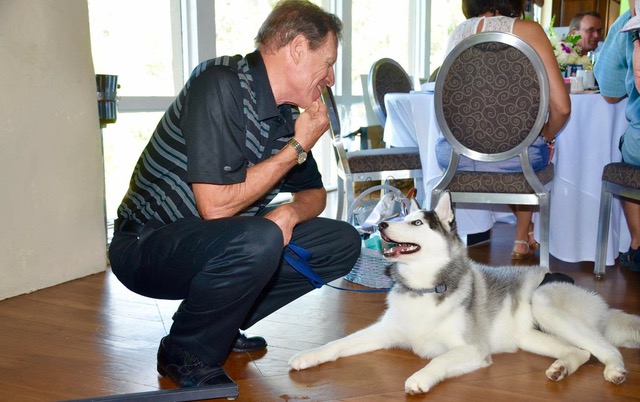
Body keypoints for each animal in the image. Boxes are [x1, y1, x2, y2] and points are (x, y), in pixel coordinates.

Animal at [288, 192, 640, 396]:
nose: (384, 225)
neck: (424, 288)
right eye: (401, 217)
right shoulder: (383, 332)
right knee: (580, 352)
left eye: (416, 223)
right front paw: (310, 355)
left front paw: (421, 377)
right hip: (531, 336)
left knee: (604, 348)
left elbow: (440, 359)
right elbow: (338, 343)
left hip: (545, 303)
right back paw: (561, 367)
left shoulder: (472, 349)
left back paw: (615, 370)